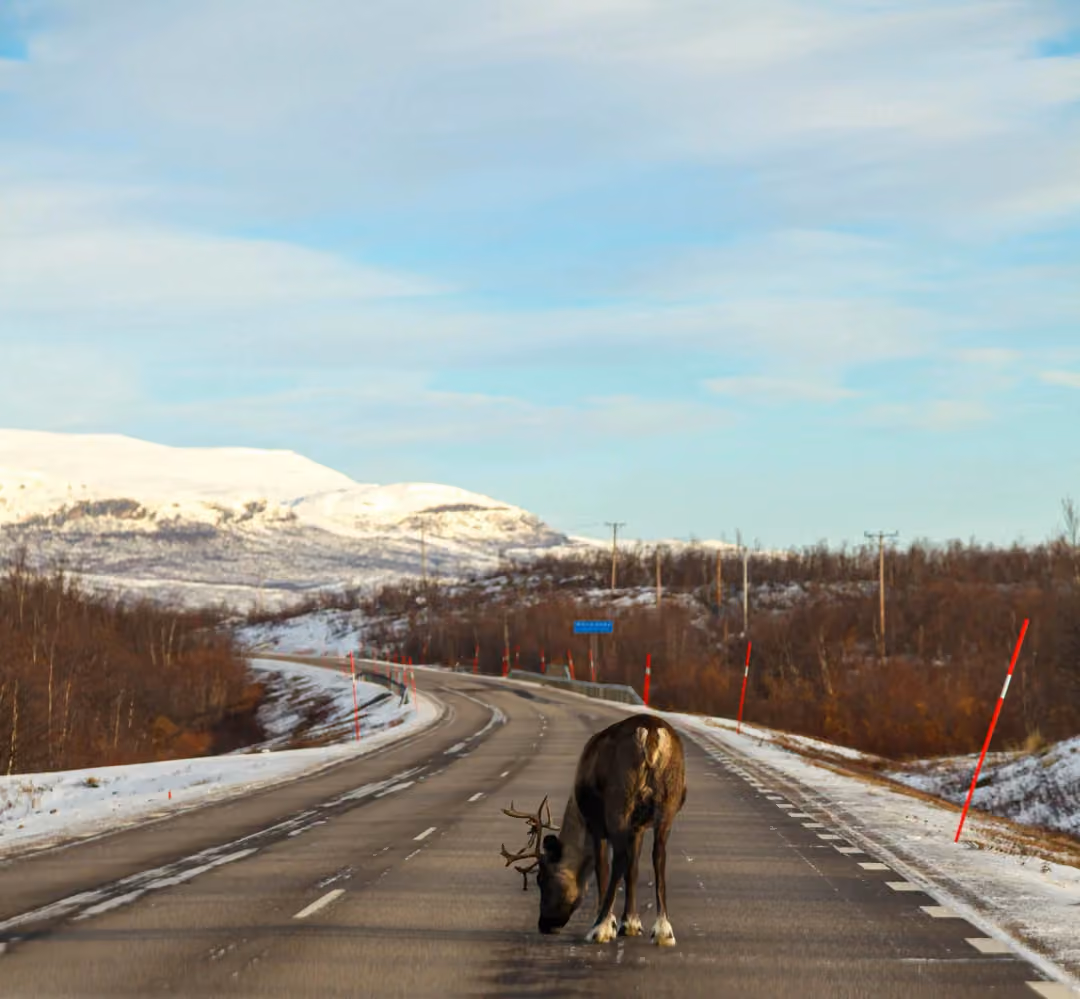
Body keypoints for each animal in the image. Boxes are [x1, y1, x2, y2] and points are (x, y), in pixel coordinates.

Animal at [500, 713, 686, 946]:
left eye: (542, 879)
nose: (544, 925)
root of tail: (651, 733)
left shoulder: (596, 824)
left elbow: (601, 867)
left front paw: (610, 924)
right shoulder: (639, 826)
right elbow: (633, 870)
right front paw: (630, 923)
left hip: (619, 804)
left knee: (619, 860)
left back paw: (598, 927)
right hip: (667, 806)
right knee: (659, 856)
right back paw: (663, 930)